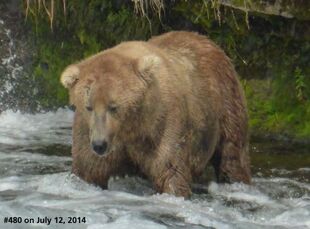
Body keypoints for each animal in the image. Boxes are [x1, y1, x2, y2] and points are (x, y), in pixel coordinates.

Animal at [59, 31, 251, 198]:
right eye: (89, 106)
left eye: (113, 106)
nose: (100, 144)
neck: (133, 126)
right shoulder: (89, 130)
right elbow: (88, 170)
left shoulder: (164, 124)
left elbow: (170, 170)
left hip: (225, 104)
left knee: (232, 154)